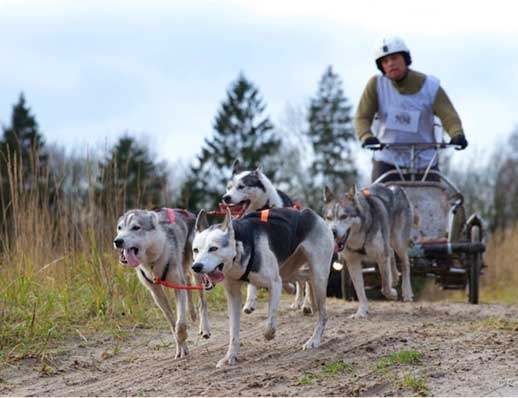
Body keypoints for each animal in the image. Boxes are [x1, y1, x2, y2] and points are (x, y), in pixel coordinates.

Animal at [113, 208, 211, 358]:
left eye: (136, 227)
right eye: (119, 228)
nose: (117, 241)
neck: (151, 261)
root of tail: (190, 214)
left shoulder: (177, 286)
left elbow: (180, 324)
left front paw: (182, 338)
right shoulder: (156, 292)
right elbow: (172, 323)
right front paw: (181, 347)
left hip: (196, 269)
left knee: (202, 301)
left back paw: (204, 328)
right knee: (187, 283)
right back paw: (192, 312)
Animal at [193, 207, 336, 368]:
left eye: (213, 248)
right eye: (195, 250)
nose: (196, 267)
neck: (239, 247)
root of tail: (311, 214)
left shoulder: (275, 283)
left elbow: (270, 323)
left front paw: (269, 335)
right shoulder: (233, 295)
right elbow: (233, 331)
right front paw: (230, 356)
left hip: (318, 275)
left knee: (323, 314)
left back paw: (314, 340)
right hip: (290, 271)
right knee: (305, 277)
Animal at [223, 160, 312, 316]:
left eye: (241, 186)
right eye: (229, 187)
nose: (226, 198)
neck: (262, 209)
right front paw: (250, 302)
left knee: (305, 281)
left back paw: (305, 304)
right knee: (299, 280)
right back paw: (296, 301)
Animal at [322, 183, 416, 318]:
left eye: (344, 216)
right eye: (329, 218)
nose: (332, 232)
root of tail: (396, 187)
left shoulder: (381, 256)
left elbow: (385, 287)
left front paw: (392, 294)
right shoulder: (353, 262)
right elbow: (360, 291)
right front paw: (361, 312)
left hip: (398, 242)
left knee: (405, 264)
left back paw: (407, 292)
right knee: (391, 253)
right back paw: (395, 277)